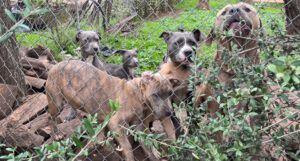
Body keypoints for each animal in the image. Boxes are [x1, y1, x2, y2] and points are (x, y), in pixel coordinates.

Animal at [45, 60, 179, 161]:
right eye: (155, 95)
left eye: (170, 93)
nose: (169, 113)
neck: (137, 93)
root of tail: (54, 65)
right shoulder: (115, 123)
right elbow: (127, 146)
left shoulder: (138, 125)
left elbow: (145, 143)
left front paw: (152, 156)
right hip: (56, 103)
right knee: (50, 117)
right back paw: (56, 133)